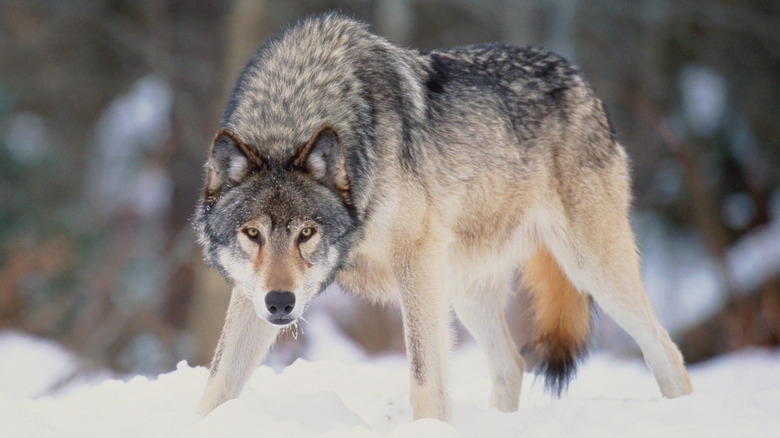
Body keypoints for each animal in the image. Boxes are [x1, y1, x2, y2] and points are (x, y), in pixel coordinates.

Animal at [192, 12, 692, 420]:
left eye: (307, 233)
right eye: (252, 233)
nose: (281, 303)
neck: (295, 108)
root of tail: (580, 78)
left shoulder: (416, 262)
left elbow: (425, 380)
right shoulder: (251, 293)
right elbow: (216, 384)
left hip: (590, 268)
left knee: (667, 351)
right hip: (464, 288)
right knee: (511, 365)